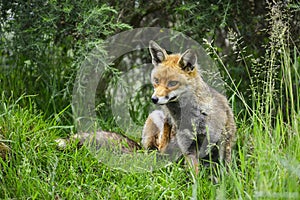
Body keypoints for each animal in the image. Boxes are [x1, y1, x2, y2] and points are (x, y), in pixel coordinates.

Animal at [142, 40, 236, 173]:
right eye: (156, 81)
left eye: (172, 83)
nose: (154, 99)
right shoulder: (188, 147)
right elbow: (194, 173)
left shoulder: (223, 141)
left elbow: (226, 171)